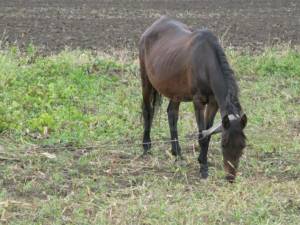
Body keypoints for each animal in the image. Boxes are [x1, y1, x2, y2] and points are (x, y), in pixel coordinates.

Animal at [139, 16, 247, 181]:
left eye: (242, 145)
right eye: (223, 143)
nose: (230, 177)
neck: (206, 63)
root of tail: (151, 28)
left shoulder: (213, 103)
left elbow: (207, 134)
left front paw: (202, 161)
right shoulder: (198, 102)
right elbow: (202, 134)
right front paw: (203, 169)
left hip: (175, 90)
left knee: (172, 114)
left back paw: (176, 152)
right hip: (146, 81)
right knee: (147, 111)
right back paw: (146, 147)